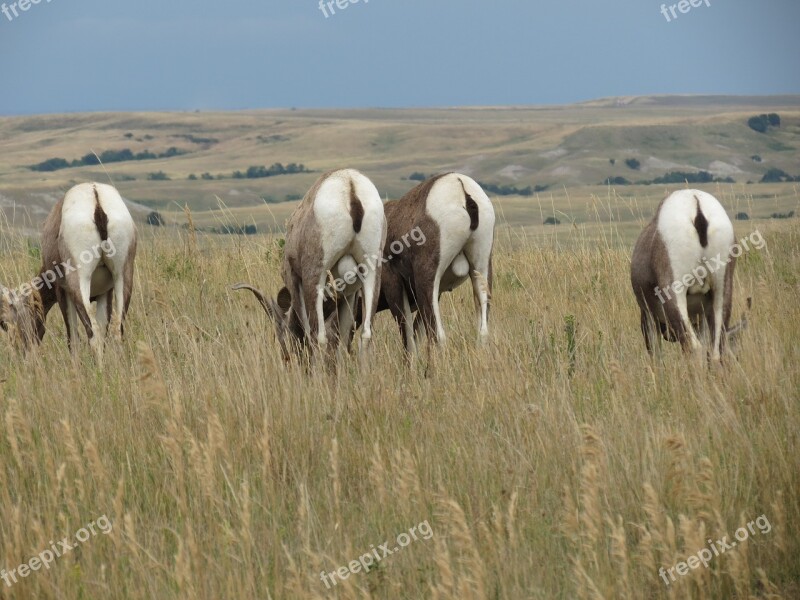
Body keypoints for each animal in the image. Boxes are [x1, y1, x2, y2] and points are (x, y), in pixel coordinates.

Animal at [0, 183, 137, 360]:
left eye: (4, 323)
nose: (23, 354)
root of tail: (95, 196)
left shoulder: (62, 291)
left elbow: (73, 339)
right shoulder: (105, 293)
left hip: (79, 282)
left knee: (93, 333)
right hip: (122, 276)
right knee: (117, 331)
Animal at [376, 171, 494, 354]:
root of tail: (461, 186)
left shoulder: (395, 288)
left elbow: (409, 341)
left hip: (428, 280)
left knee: (438, 336)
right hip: (481, 269)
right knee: (482, 332)